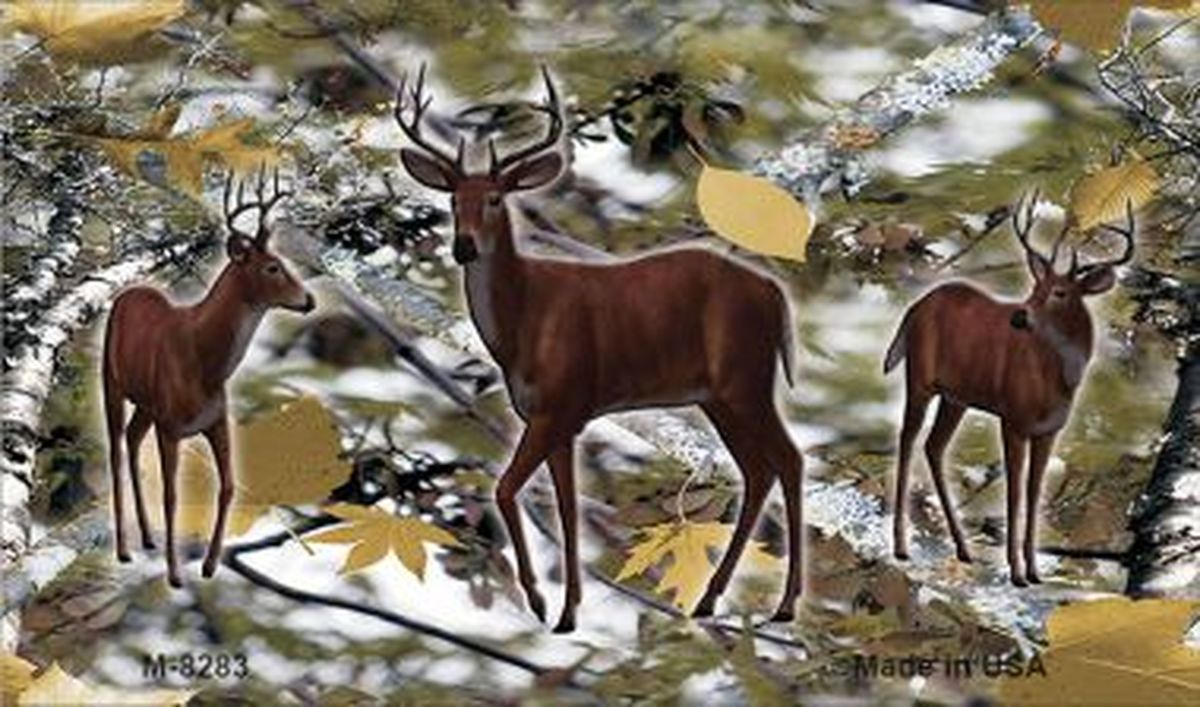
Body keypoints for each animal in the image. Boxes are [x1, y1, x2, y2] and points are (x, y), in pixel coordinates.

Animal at [102, 169, 315, 588]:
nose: (309, 300)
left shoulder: (217, 418)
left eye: (283, 260)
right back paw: (123, 550)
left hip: (148, 404)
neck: (204, 362)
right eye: (272, 267)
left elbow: (229, 486)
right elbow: (172, 496)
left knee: (132, 439)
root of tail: (128, 293)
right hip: (112, 382)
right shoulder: (170, 426)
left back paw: (147, 538)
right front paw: (174, 575)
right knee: (115, 449)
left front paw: (209, 565)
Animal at [393, 66, 805, 632]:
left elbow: (506, 488)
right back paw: (709, 600)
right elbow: (566, 507)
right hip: (718, 395)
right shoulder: (559, 417)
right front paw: (566, 610)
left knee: (789, 459)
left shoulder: (560, 402)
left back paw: (784, 606)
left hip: (745, 377)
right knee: (757, 469)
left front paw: (542, 601)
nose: (464, 246)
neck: (523, 322)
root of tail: (775, 294)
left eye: (496, 199)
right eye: (453, 200)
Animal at [884, 192, 1135, 586]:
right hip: (919, 377)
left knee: (934, 446)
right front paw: (1016, 572)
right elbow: (1014, 491)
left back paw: (963, 549)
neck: (1057, 380)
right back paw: (901, 547)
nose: (1019, 316)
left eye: (1060, 292)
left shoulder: (1049, 430)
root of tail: (915, 307)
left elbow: (1034, 493)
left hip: (955, 397)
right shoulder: (1013, 419)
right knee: (907, 440)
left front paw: (1033, 571)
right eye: (1034, 288)